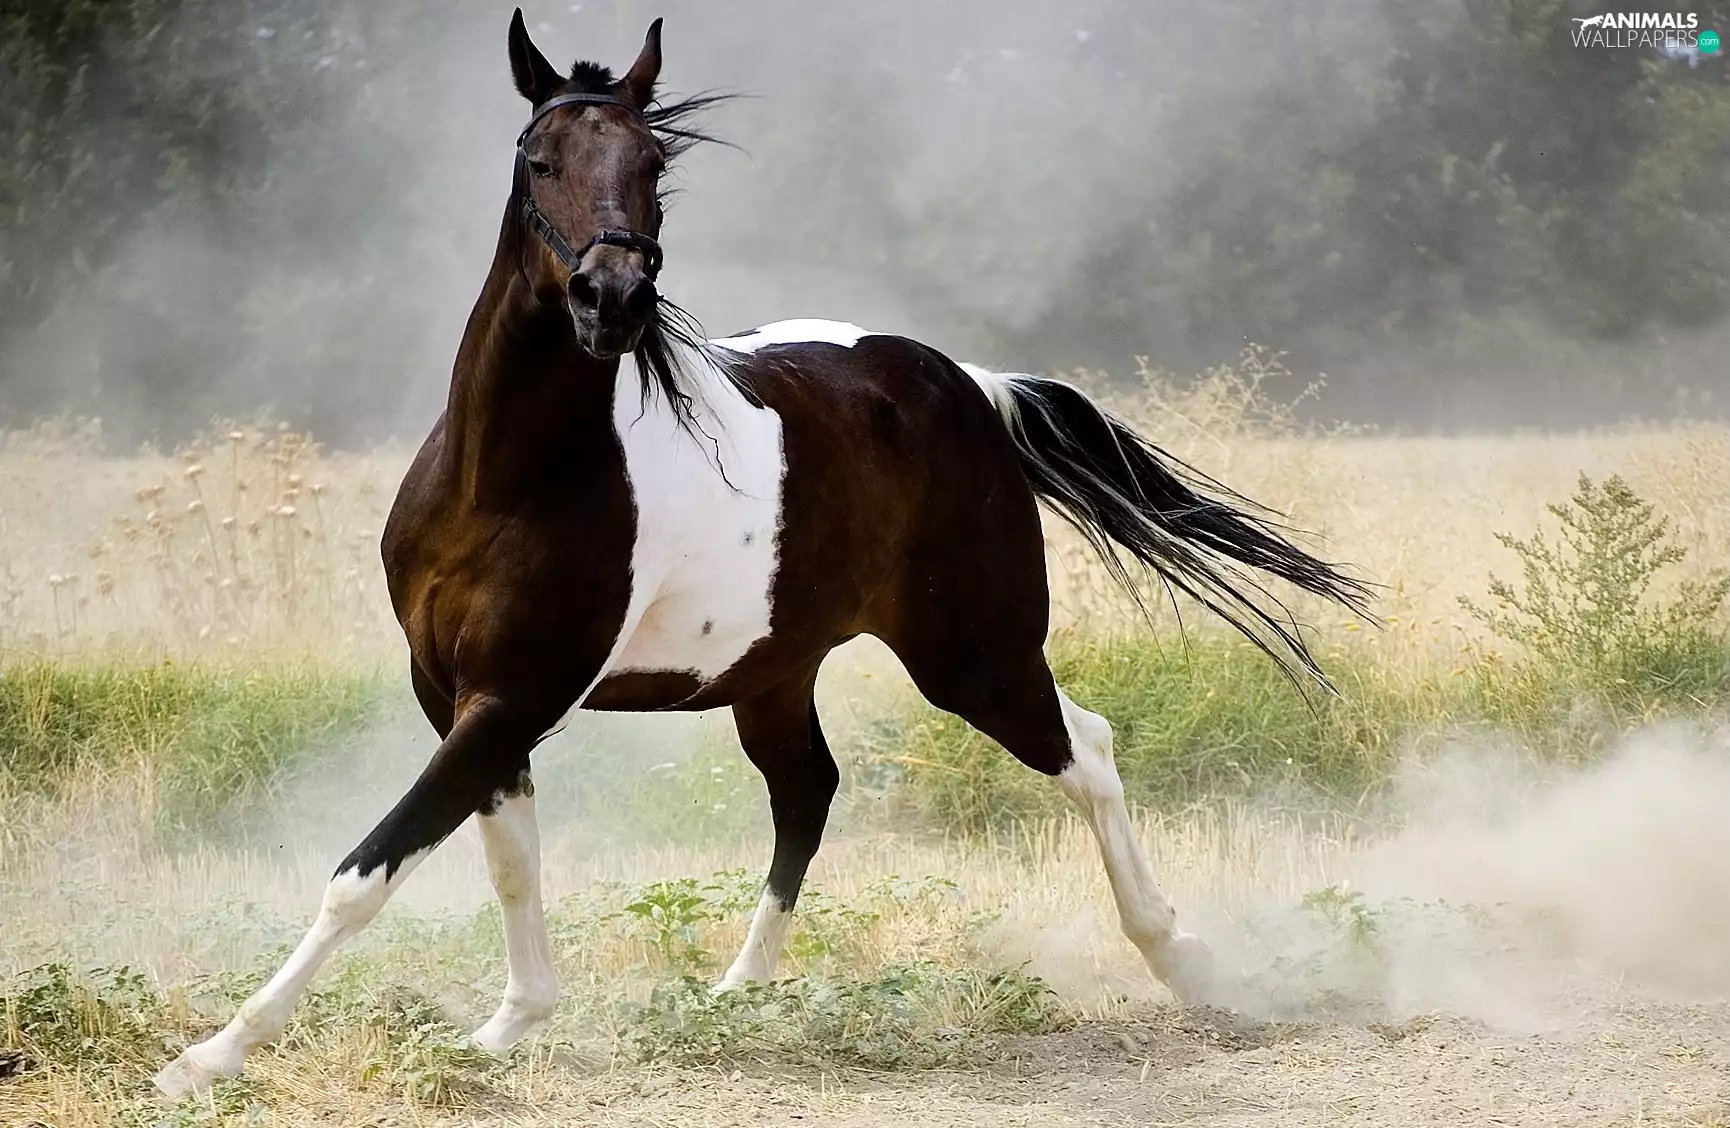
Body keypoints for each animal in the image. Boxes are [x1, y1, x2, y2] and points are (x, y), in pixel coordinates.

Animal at [155, 11, 1369, 1098]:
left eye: (653, 164)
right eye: (539, 158)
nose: (611, 300)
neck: (503, 481)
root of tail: (971, 387)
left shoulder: (512, 696)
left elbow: (367, 871)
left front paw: (210, 1056)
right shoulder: (458, 694)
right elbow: (504, 855)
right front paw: (509, 1027)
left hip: (972, 656)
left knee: (1089, 752)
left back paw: (1183, 960)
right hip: (777, 670)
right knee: (808, 790)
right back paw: (737, 992)